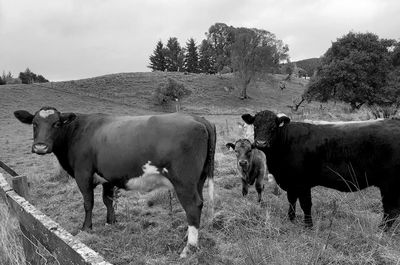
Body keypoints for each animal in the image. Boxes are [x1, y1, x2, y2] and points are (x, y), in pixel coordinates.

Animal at [14, 105, 216, 256]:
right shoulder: (107, 177)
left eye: (56, 123)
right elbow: (108, 200)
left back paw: (189, 247)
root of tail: (199, 119)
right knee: (199, 204)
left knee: (193, 206)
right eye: (34, 123)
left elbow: (88, 202)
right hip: (198, 179)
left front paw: (86, 228)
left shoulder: (83, 173)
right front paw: (111, 221)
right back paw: (186, 236)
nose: (40, 147)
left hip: (184, 182)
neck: (77, 132)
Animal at [241, 109, 400, 229]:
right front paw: (291, 220)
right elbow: (291, 201)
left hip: (389, 184)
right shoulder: (291, 183)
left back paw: (382, 230)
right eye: (255, 126)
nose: (261, 143)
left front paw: (308, 226)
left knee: (390, 210)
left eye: (273, 128)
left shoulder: (302, 183)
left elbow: (306, 204)